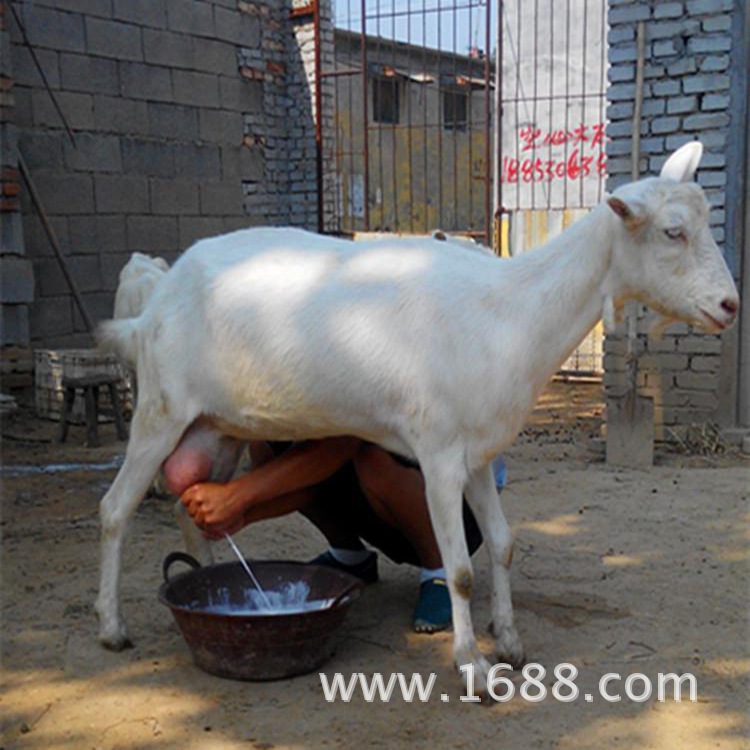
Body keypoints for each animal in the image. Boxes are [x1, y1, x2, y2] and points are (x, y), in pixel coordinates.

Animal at [95, 144, 740, 696]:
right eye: (673, 232)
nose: (730, 306)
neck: (510, 312)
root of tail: (156, 297)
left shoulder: (478, 452)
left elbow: (502, 544)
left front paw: (510, 643)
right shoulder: (440, 454)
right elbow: (459, 570)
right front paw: (474, 668)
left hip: (217, 426)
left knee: (189, 509)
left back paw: (199, 588)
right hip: (161, 408)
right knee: (115, 508)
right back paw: (112, 627)